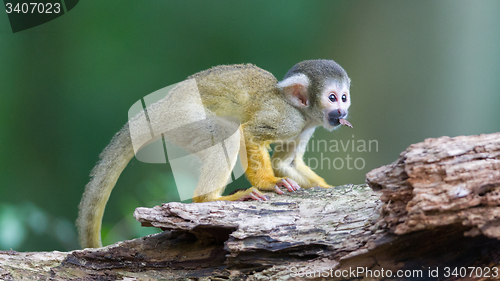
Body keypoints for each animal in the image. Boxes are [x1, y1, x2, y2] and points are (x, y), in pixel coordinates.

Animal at [77, 59, 352, 247]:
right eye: (332, 98)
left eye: (344, 97)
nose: (343, 112)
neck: (301, 111)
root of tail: (163, 106)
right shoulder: (287, 119)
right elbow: (249, 134)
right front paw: (269, 182)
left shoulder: (305, 126)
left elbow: (284, 163)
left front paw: (324, 188)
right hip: (186, 120)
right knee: (229, 136)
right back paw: (210, 199)